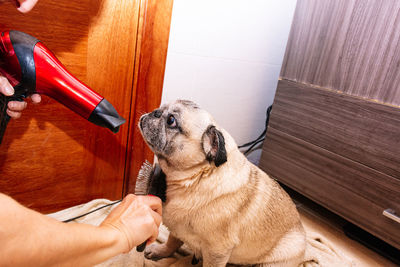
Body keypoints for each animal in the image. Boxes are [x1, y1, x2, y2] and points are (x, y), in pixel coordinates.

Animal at [138, 100, 306, 267]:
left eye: (171, 121)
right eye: (161, 108)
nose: (155, 112)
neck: (197, 176)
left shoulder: (217, 251)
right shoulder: (178, 228)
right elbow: (173, 241)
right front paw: (161, 251)